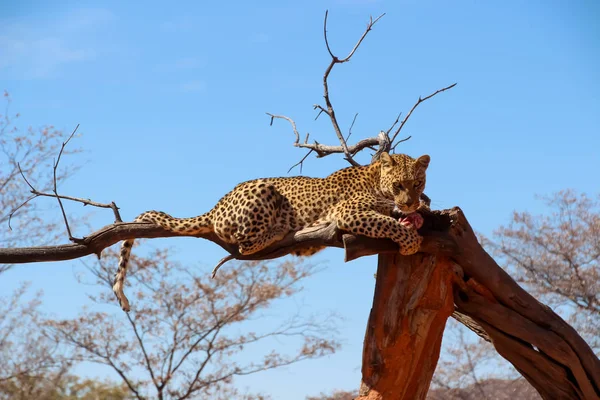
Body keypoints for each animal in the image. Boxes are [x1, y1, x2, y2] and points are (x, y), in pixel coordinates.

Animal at [113, 152, 432, 310]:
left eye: (417, 183)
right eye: (399, 184)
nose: (410, 201)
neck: (376, 179)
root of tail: (215, 207)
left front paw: (419, 214)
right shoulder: (348, 212)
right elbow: (385, 222)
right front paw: (409, 240)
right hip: (263, 190)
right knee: (244, 244)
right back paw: (279, 231)